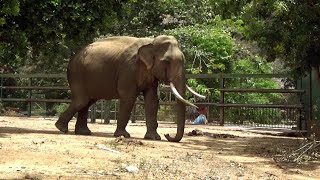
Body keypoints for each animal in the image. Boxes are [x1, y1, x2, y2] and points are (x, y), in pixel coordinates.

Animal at [54, 35, 205, 142]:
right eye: (166, 62)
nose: (168, 134)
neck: (151, 41)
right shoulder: (128, 69)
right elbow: (129, 97)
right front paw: (123, 135)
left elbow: (152, 100)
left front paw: (154, 138)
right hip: (77, 74)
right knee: (82, 101)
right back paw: (61, 128)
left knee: (87, 102)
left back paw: (83, 132)